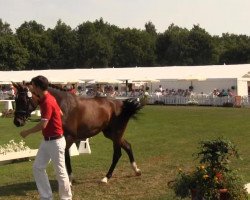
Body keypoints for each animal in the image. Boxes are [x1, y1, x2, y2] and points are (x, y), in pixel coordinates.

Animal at [12, 82, 144, 184]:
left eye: (24, 99)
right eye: (15, 99)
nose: (17, 122)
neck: (62, 105)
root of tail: (122, 104)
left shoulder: (69, 137)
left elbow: (66, 157)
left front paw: (70, 179)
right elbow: (64, 156)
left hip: (116, 134)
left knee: (117, 154)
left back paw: (106, 178)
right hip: (111, 134)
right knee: (127, 146)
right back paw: (136, 170)